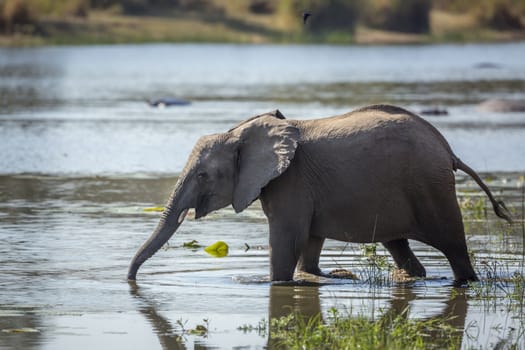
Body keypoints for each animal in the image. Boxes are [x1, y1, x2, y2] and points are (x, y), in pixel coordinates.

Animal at [128, 104, 512, 284]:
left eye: (203, 175)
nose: (129, 281)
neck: (241, 132)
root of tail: (448, 150)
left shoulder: (291, 182)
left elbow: (287, 241)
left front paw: (270, 282)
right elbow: (308, 245)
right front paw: (322, 276)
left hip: (431, 187)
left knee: (454, 247)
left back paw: (464, 280)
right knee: (400, 248)